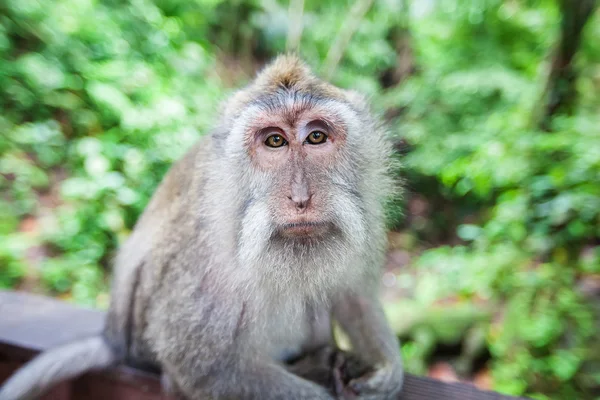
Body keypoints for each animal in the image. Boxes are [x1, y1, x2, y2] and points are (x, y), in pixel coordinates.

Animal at [1, 54, 404, 400]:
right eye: (275, 140)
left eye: (316, 136)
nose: (301, 198)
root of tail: (113, 337)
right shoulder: (205, 252)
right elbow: (202, 367)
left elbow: (355, 295)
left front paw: (387, 370)